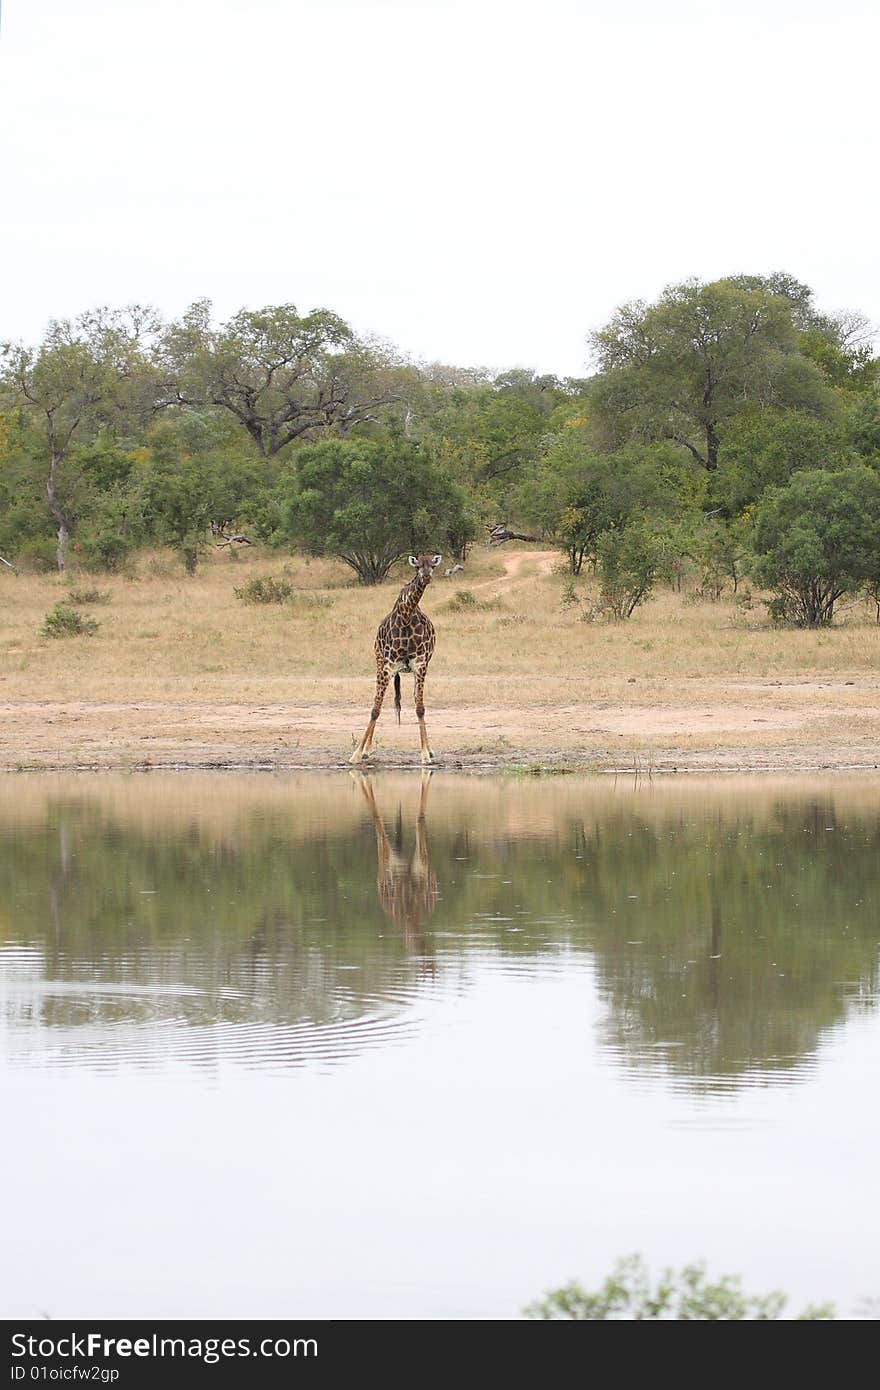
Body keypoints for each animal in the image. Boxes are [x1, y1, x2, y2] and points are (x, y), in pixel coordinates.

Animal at [348, 550, 439, 767]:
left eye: (433, 565)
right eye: (417, 566)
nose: (426, 577)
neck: (406, 616)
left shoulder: (420, 664)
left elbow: (420, 708)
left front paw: (425, 754)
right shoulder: (388, 666)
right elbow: (375, 708)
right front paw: (357, 754)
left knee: (415, 700)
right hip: (379, 662)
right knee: (378, 702)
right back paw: (367, 750)